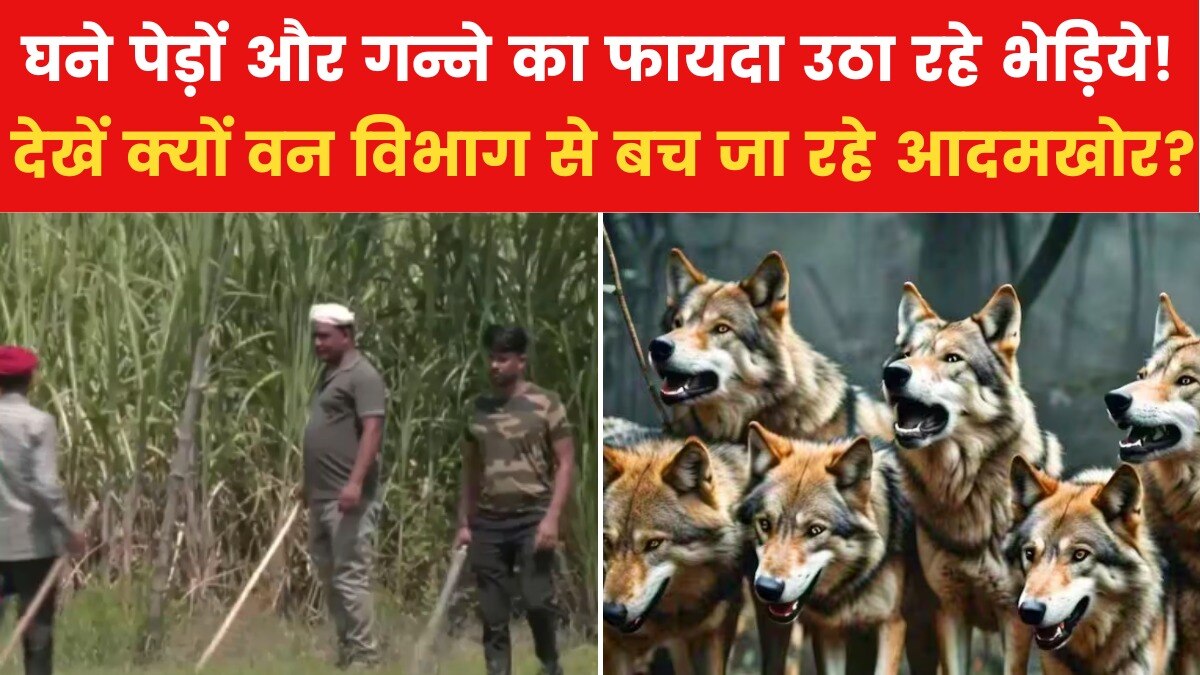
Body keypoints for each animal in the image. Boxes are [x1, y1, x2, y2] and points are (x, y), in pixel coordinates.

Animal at [737, 422, 929, 675]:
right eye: (765, 524)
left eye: (815, 530)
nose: (767, 588)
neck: (851, 583)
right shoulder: (828, 631)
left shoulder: (892, 624)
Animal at [881, 282, 1063, 675]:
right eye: (906, 354)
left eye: (952, 359)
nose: (893, 372)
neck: (966, 490)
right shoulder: (949, 611)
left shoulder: (1014, 617)